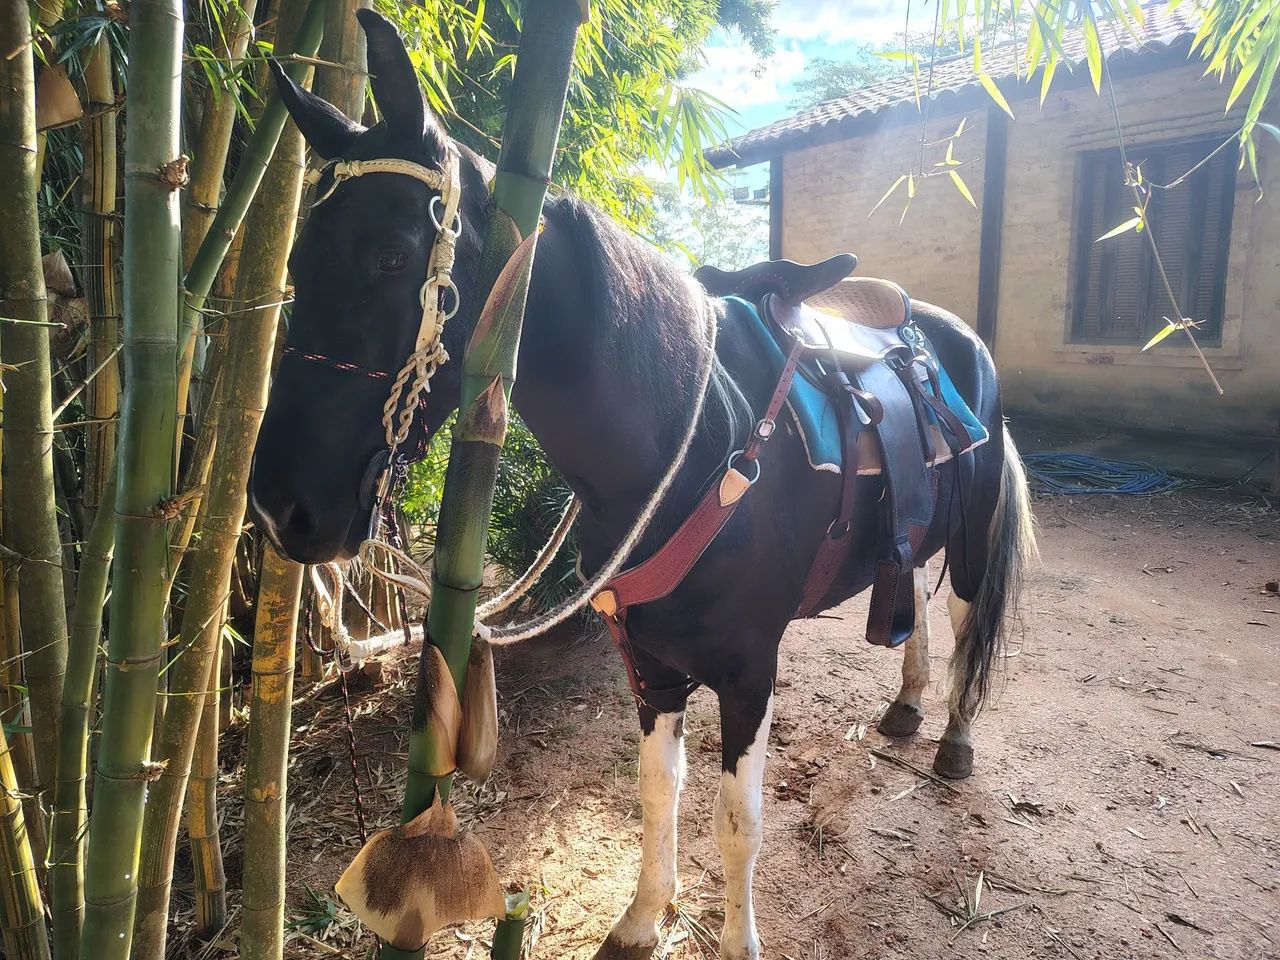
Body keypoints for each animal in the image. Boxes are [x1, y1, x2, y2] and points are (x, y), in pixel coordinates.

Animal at [248, 12, 1036, 959]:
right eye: (293, 259)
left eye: (395, 256)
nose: (281, 505)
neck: (692, 447)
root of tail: (955, 336)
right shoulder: (650, 662)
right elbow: (657, 790)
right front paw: (639, 918)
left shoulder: (748, 669)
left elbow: (738, 821)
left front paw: (736, 941)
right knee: (909, 585)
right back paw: (909, 705)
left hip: (973, 536)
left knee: (962, 615)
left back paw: (953, 736)